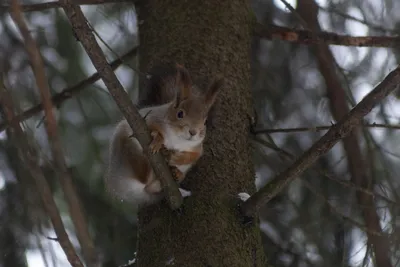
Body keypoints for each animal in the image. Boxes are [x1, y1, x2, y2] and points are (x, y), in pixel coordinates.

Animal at [104, 63, 223, 208]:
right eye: (180, 114)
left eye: (205, 121)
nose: (193, 132)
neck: (177, 139)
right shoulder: (147, 118)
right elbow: (151, 128)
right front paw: (158, 139)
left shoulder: (196, 147)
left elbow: (192, 156)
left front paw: (176, 158)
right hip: (127, 147)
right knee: (142, 175)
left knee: (150, 187)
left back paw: (175, 174)